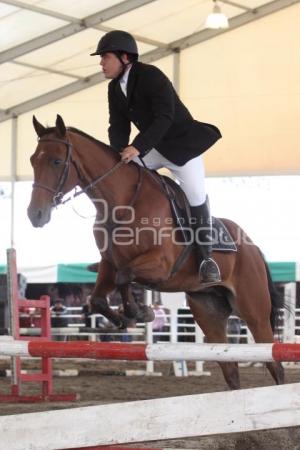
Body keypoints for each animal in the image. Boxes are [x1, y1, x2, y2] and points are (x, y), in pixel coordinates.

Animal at [28, 115, 286, 390]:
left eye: (56, 161)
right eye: (33, 160)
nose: (35, 215)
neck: (122, 204)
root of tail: (254, 249)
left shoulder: (160, 264)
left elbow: (124, 276)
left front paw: (140, 311)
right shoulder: (109, 263)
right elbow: (98, 297)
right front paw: (124, 318)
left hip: (254, 312)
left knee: (275, 363)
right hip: (209, 312)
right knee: (231, 370)